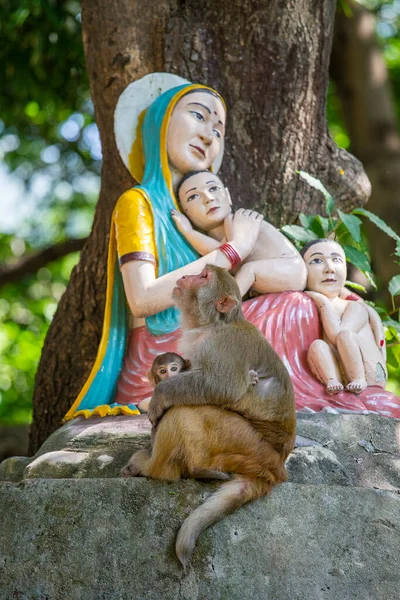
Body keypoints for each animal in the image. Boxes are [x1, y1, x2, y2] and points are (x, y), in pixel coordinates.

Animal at [125, 266, 296, 568]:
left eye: (204, 277)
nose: (185, 276)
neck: (213, 325)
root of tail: (276, 469)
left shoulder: (224, 346)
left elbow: (219, 386)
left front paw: (158, 398)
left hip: (242, 442)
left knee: (183, 412)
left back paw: (159, 468)